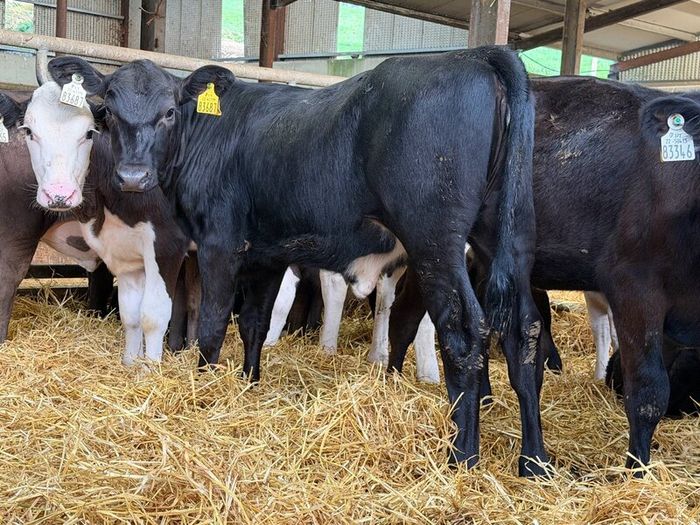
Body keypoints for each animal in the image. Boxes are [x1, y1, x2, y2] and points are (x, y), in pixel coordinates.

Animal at [48, 46, 547, 476]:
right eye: (107, 112)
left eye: (169, 111)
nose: (133, 177)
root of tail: (474, 55)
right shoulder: (267, 253)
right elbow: (254, 322)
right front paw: (247, 386)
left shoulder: (219, 242)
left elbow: (213, 321)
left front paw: (205, 391)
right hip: (505, 238)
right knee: (524, 332)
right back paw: (535, 462)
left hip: (435, 241)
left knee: (464, 333)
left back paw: (461, 456)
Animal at [386, 76, 700, 473]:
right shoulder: (634, 285)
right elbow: (649, 390)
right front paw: (636, 470)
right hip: (428, 246)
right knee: (404, 315)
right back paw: (390, 381)